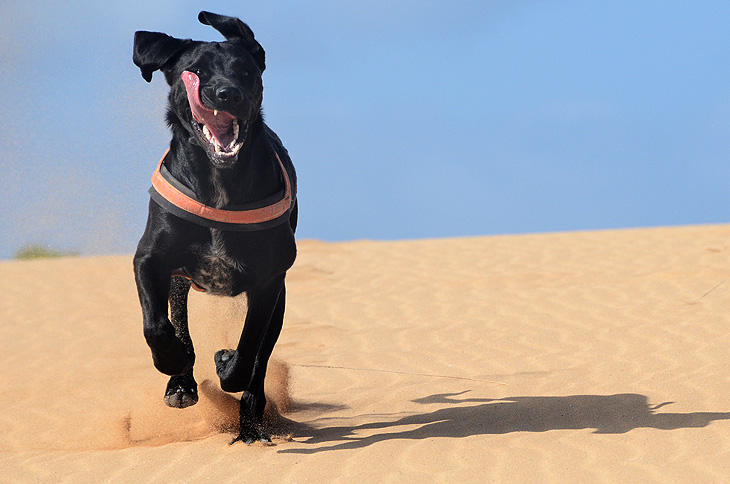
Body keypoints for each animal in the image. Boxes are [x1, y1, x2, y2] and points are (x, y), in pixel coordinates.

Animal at [131, 11, 296, 444]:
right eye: (197, 71)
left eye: (245, 70)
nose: (227, 94)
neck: (221, 181)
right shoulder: (150, 259)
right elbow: (157, 326)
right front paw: (173, 363)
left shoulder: (268, 280)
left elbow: (250, 349)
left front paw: (226, 363)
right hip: (178, 279)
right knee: (178, 320)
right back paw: (182, 381)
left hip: (279, 297)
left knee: (260, 360)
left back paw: (251, 425)